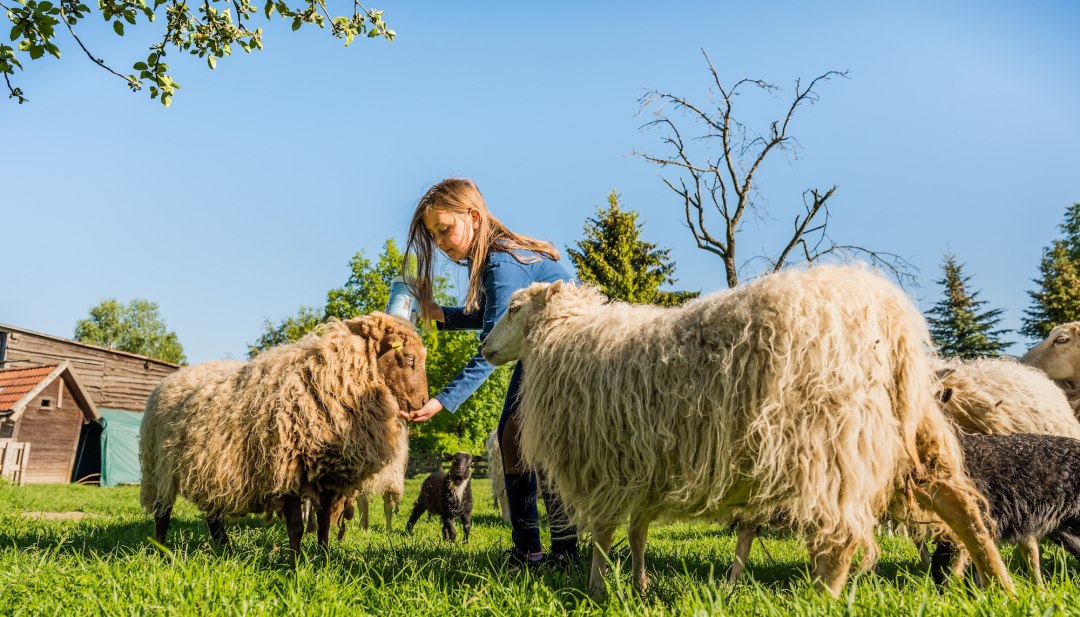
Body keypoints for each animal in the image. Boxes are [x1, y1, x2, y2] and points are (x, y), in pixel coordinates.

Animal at [139, 313, 427, 558]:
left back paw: (226, 549)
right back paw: (162, 551)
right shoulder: (287, 470)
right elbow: (296, 528)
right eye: (409, 357)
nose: (423, 404)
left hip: (211, 469)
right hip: (159, 469)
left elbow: (324, 526)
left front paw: (323, 561)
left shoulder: (328, 477)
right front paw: (296, 566)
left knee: (213, 516)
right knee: (162, 513)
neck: (333, 379)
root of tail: (172, 377)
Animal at [480, 264, 1014, 598]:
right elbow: (638, 531)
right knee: (961, 504)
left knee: (843, 533)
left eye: (513, 308)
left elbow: (604, 536)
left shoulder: (600, 466)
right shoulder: (645, 465)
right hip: (911, 430)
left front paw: (595, 590)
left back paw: (820, 598)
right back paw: (1003, 584)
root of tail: (889, 312)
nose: (483, 346)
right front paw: (639, 585)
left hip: (831, 438)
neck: (564, 338)